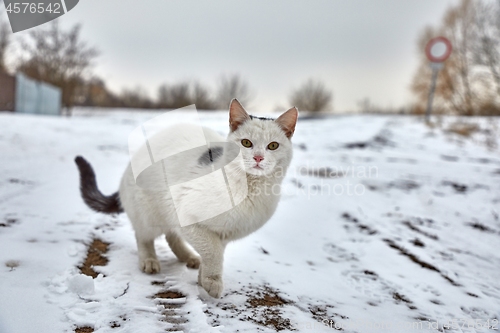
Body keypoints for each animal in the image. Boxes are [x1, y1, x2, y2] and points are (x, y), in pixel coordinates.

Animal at [75, 99, 296, 298]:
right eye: (246, 143)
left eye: (273, 146)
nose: (258, 158)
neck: (250, 188)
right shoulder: (188, 216)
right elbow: (213, 252)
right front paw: (212, 281)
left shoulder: (223, 234)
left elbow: (213, 253)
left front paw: (203, 278)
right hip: (149, 212)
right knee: (144, 236)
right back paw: (149, 260)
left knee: (171, 236)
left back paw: (188, 257)